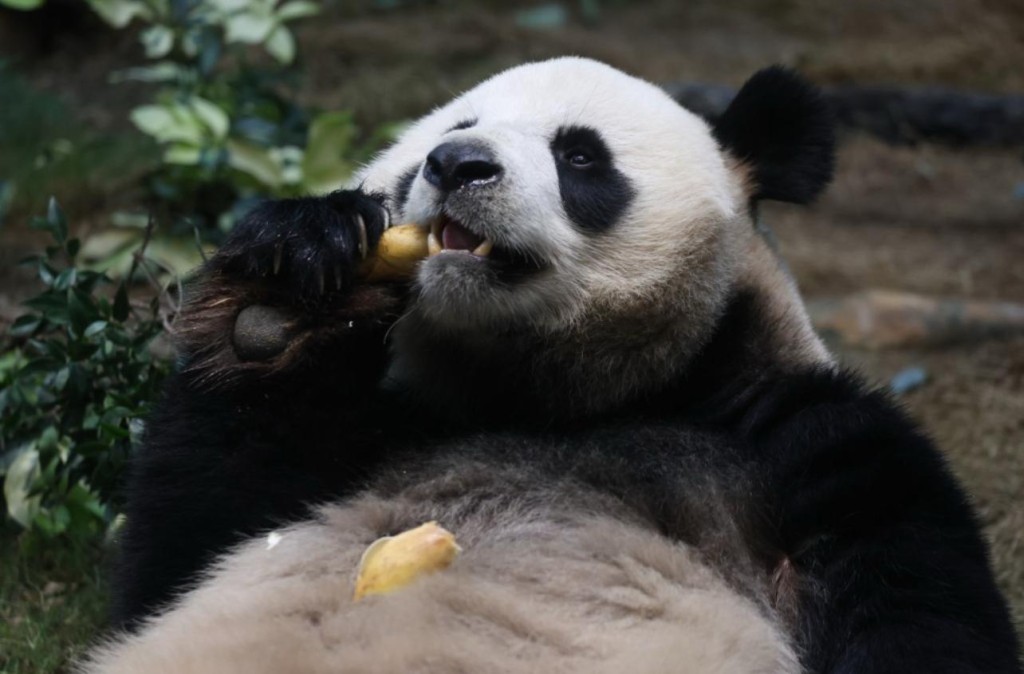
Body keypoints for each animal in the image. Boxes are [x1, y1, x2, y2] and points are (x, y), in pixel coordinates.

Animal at [81, 58, 1020, 673]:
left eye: (579, 155)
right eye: (454, 129)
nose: (457, 165)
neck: (552, 396)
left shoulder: (800, 444)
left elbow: (920, 615)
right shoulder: (375, 432)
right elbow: (181, 548)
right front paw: (280, 295)